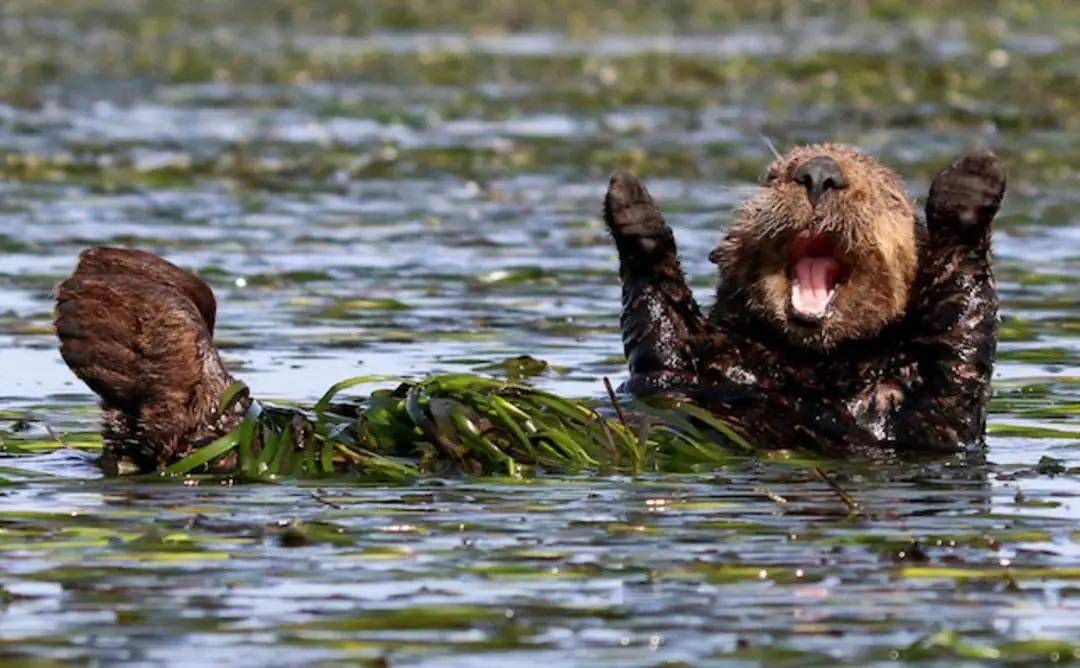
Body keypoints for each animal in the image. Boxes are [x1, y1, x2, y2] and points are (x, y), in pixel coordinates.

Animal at [609, 146, 1002, 455]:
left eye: (886, 193)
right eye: (774, 175)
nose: (820, 172)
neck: (810, 368)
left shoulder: (930, 407)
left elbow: (961, 335)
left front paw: (973, 178)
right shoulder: (680, 367)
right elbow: (662, 331)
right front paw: (631, 201)